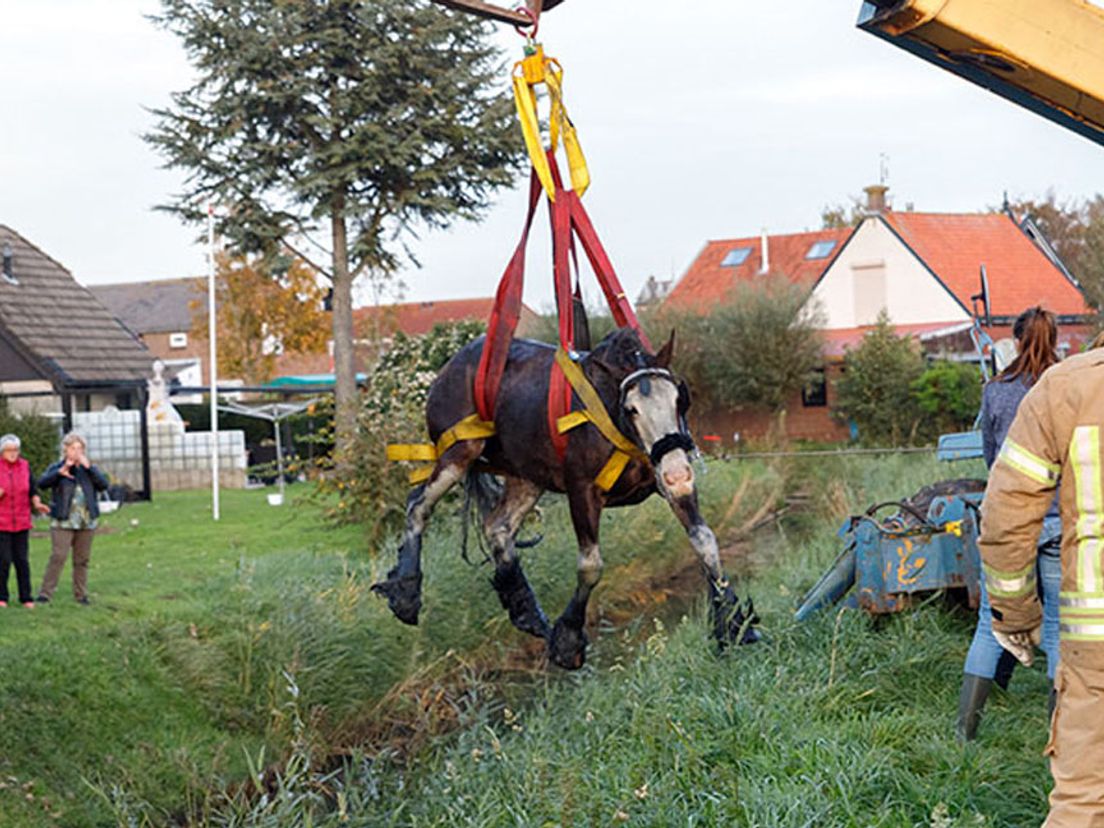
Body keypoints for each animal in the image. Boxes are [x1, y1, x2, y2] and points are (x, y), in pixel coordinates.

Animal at [370, 326, 759, 671]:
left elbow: (704, 540)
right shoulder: (581, 490)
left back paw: (527, 612)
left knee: (498, 527)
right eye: (631, 409)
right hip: (457, 453)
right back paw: (405, 591)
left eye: (680, 398)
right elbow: (590, 565)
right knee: (419, 505)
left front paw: (732, 623)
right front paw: (569, 637)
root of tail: (453, 364)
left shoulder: (666, 479)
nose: (679, 473)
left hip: (527, 476)